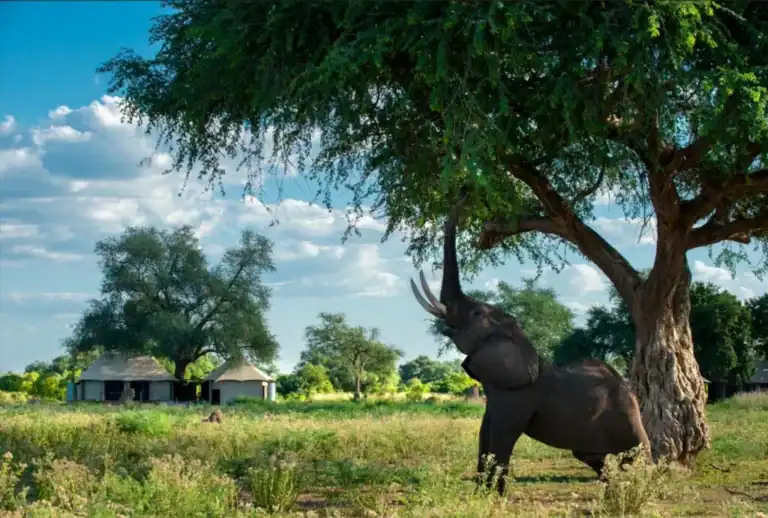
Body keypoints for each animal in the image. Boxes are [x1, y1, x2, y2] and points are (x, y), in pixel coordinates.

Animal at [409, 203, 650, 495]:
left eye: (477, 313)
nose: (464, 196)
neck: (519, 339)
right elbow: (484, 434)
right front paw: (481, 494)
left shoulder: (518, 398)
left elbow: (502, 437)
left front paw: (495, 496)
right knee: (591, 456)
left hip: (625, 416)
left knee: (636, 456)